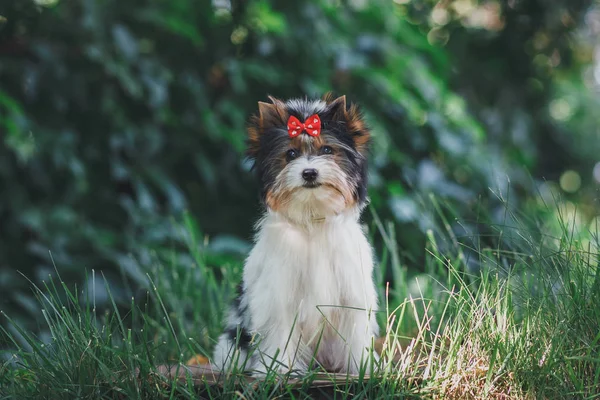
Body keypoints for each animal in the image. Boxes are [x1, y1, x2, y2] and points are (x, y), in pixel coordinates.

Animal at [213, 94, 378, 376]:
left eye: (327, 150)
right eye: (290, 154)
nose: (309, 172)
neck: (312, 219)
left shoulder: (351, 291)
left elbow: (354, 330)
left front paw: (362, 367)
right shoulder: (279, 293)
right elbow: (281, 328)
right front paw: (278, 369)